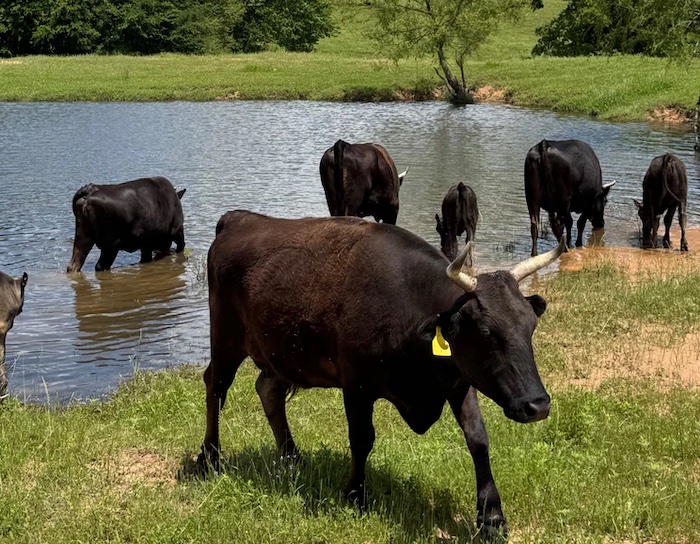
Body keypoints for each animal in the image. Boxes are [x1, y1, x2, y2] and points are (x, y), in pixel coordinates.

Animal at [199, 210, 566, 539]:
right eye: (487, 333)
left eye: (530, 326)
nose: (537, 405)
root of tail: (240, 218)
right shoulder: (356, 384)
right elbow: (362, 438)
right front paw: (354, 495)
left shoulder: (460, 380)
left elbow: (477, 438)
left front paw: (491, 516)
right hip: (226, 337)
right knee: (215, 385)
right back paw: (210, 458)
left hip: (278, 353)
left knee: (268, 390)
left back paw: (290, 458)